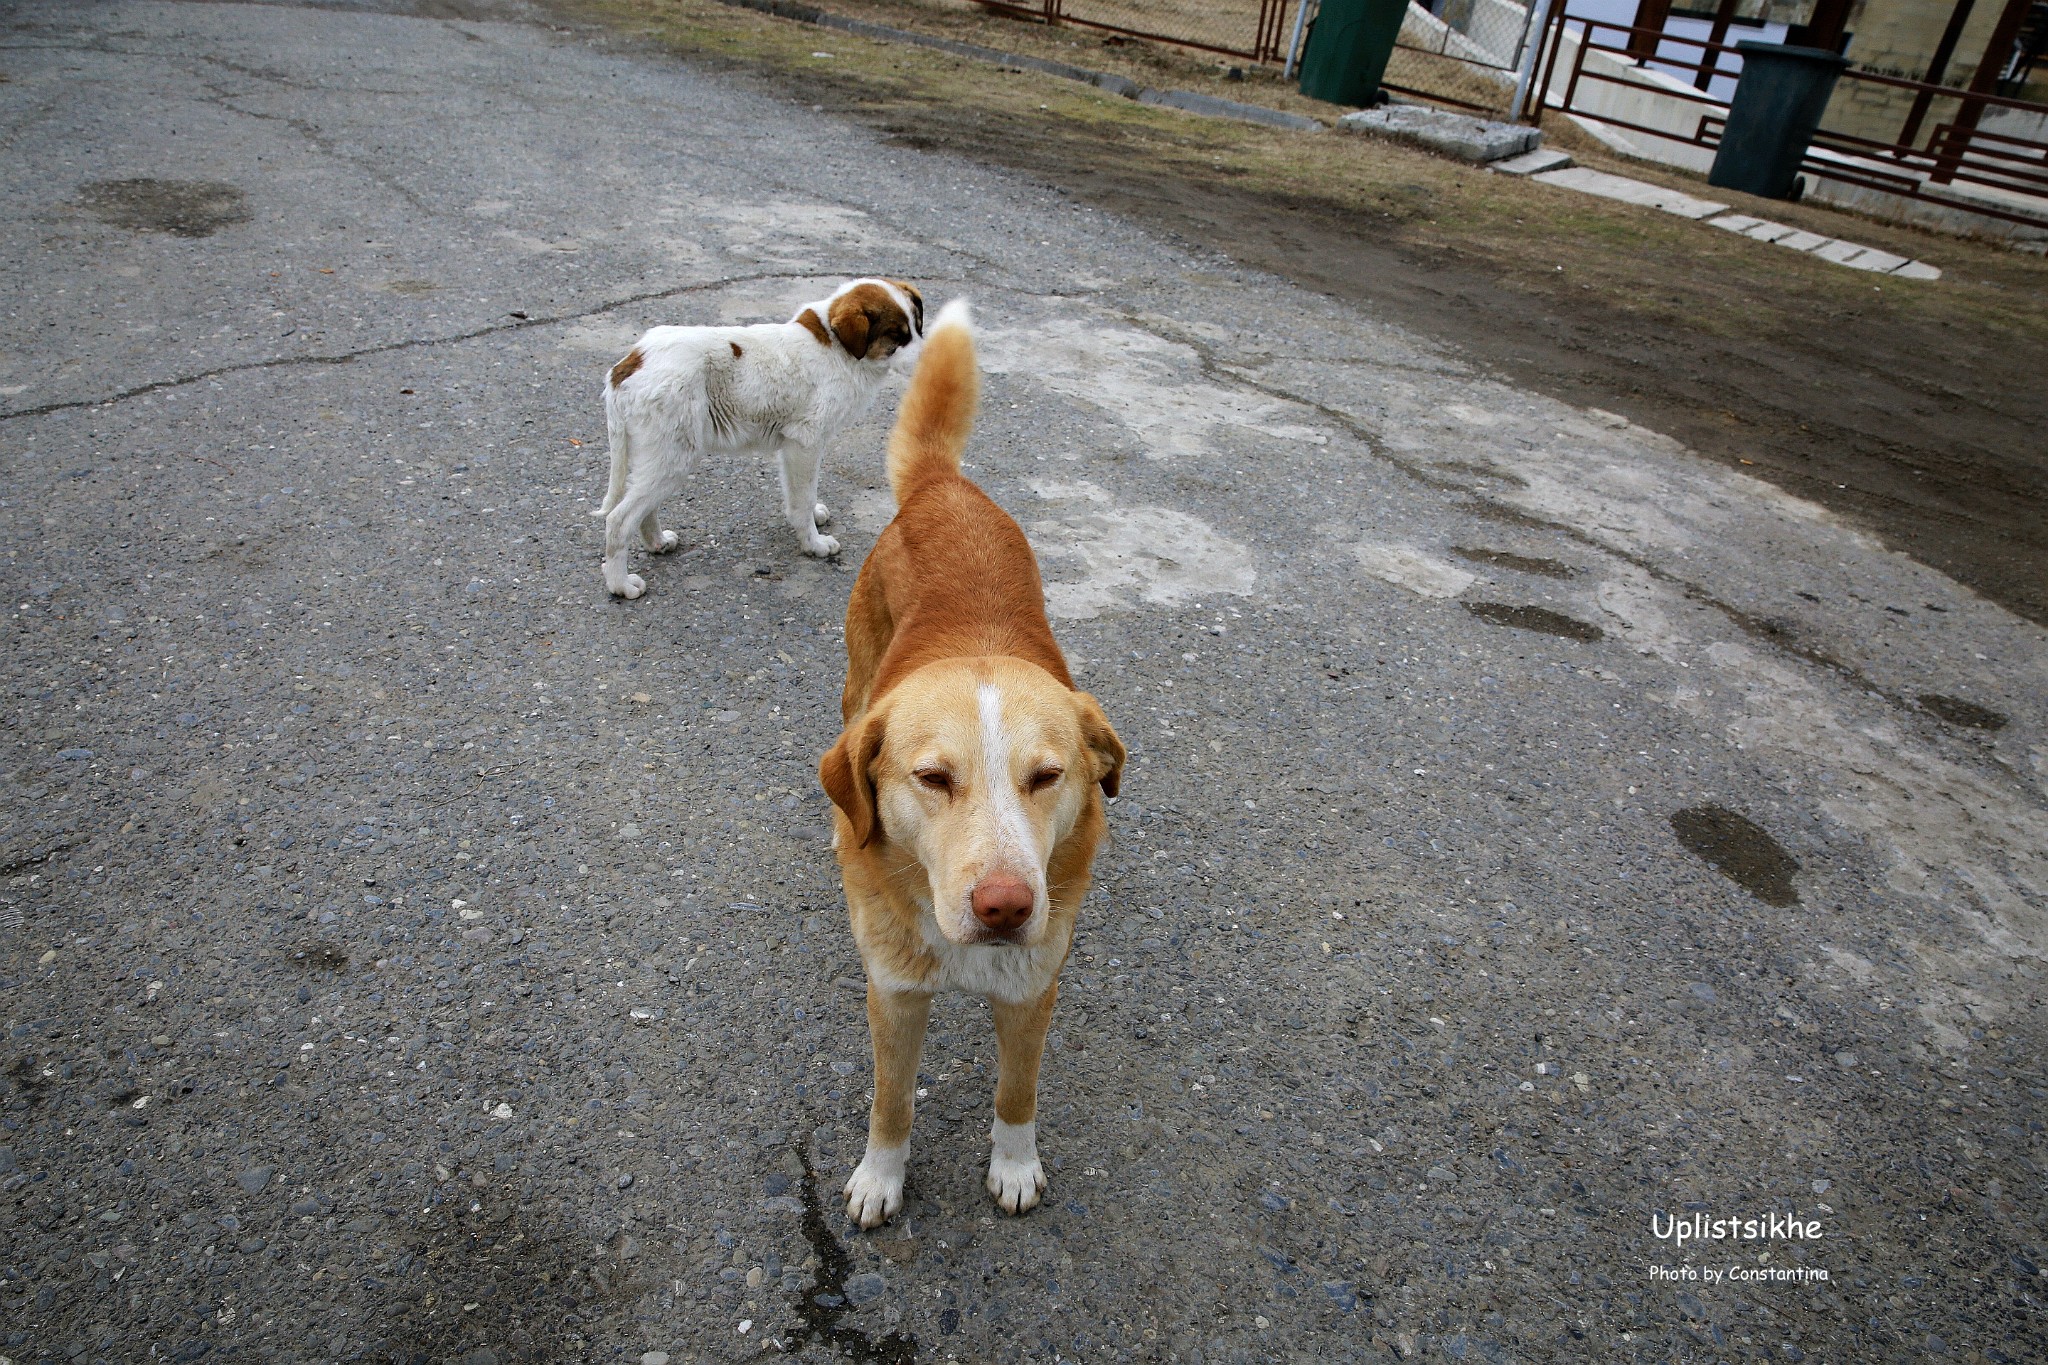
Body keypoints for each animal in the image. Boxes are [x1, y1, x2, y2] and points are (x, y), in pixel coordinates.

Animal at [598, 278, 925, 597]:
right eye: (896, 336)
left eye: (917, 327)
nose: (929, 360)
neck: (837, 349)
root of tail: (628, 364)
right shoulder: (805, 442)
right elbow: (803, 497)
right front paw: (814, 544)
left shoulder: (793, 446)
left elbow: (799, 494)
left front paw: (811, 518)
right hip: (674, 456)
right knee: (618, 520)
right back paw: (621, 584)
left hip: (658, 454)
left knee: (643, 505)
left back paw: (657, 542)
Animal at [819, 304, 1138, 1236]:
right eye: (933, 778)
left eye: (1047, 777)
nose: (1005, 905)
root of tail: (942, 487)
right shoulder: (892, 993)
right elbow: (891, 1101)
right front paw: (880, 1176)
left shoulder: (1034, 988)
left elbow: (1017, 1091)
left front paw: (1015, 1165)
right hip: (854, 679)